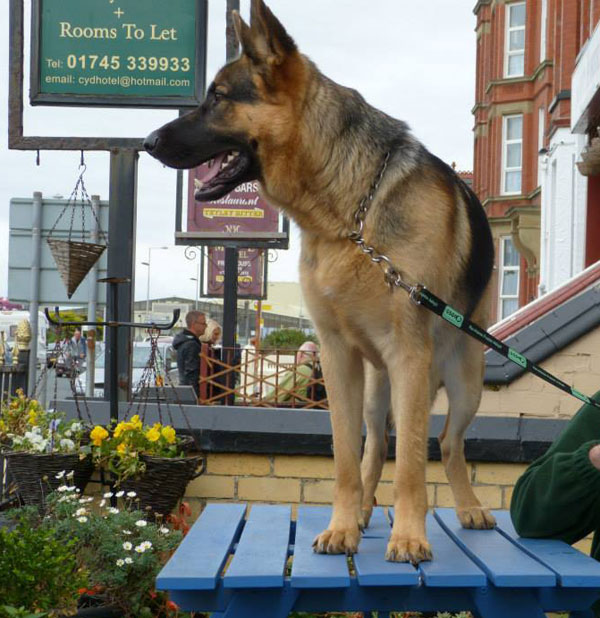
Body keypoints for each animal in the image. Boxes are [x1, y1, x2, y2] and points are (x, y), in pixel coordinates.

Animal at [144, 0, 492, 564]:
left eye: (218, 97)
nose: (147, 142)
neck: (349, 214)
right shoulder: (336, 357)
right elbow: (347, 457)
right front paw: (343, 525)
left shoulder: (408, 357)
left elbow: (413, 464)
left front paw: (409, 536)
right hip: (379, 388)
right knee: (377, 444)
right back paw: (368, 511)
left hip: (465, 382)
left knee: (448, 443)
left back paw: (468, 508)